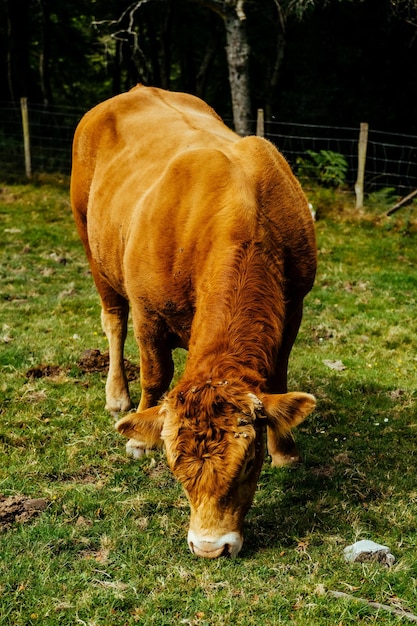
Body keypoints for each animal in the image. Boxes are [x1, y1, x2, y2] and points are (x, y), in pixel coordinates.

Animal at [70, 84, 316, 556]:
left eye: (250, 463)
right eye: (174, 468)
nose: (209, 547)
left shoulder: (295, 303)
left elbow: (278, 377)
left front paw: (286, 450)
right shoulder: (148, 312)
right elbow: (155, 374)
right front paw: (137, 437)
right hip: (90, 241)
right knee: (114, 321)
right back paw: (117, 396)